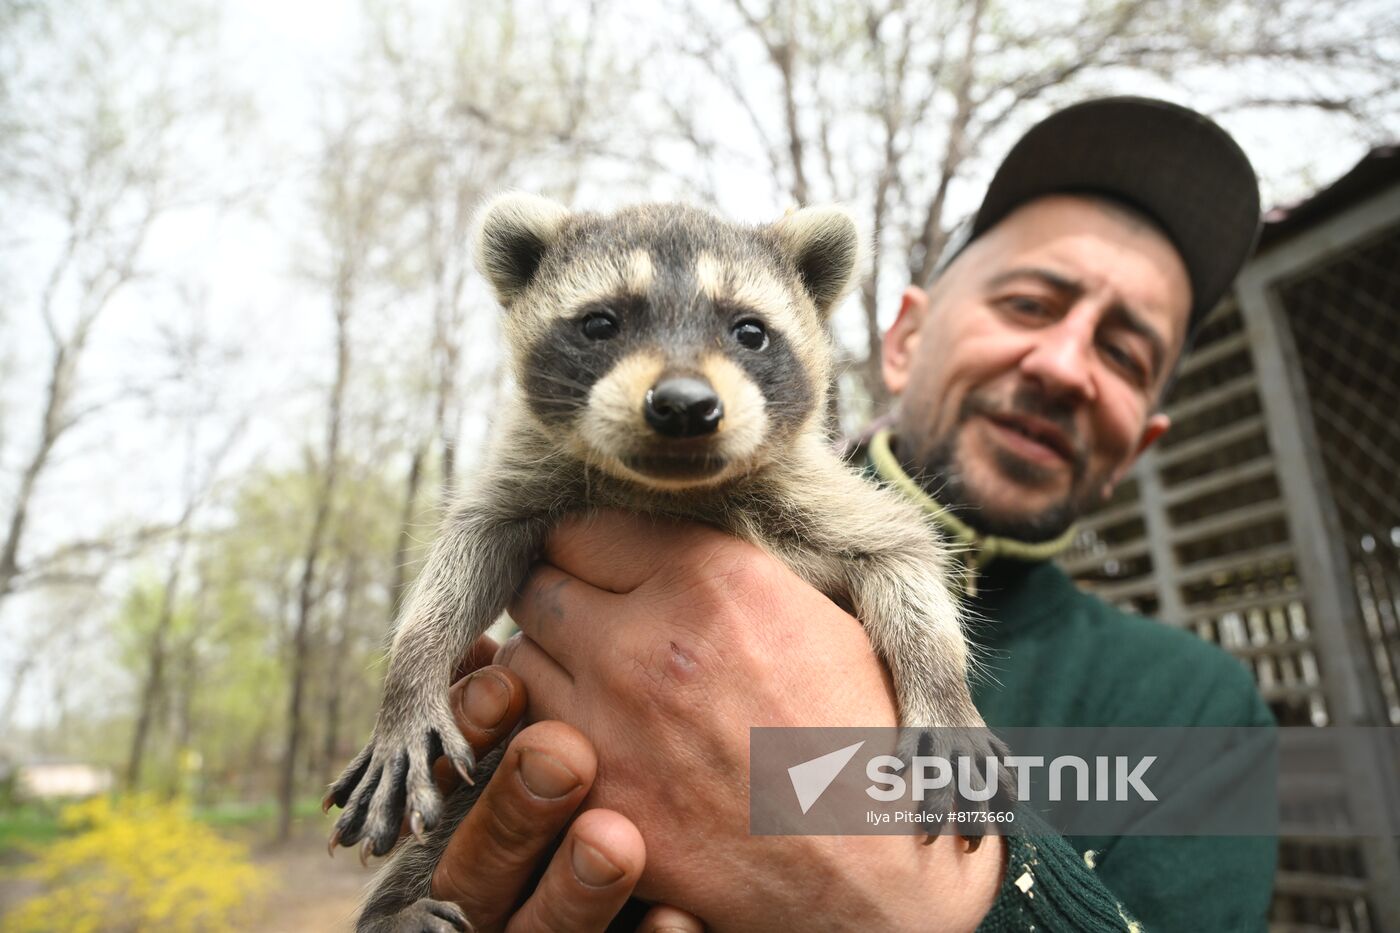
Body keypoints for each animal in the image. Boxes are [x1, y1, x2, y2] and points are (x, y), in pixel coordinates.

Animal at [327, 191, 1008, 924]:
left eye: (749, 331)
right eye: (601, 322)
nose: (684, 405)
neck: (669, 489)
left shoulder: (819, 497)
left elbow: (900, 550)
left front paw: (942, 688)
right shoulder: (527, 481)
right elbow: (469, 549)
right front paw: (410, 676)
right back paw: (393, 909)